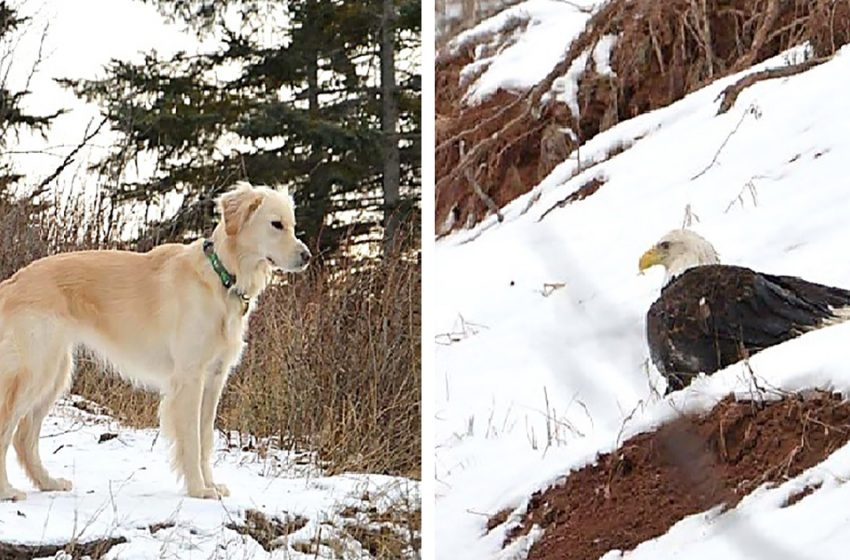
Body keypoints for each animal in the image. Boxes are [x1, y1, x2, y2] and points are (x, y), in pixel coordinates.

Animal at [0, 182, 308, 500]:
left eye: (293, 226)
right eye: (276, 224)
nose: (307, 256)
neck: (222, 277)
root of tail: (11, 283)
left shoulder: (214, 378)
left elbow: (205, 439)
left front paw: (210, 485)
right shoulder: (189, 378)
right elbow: (191, 440)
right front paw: (198, 489)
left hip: (55, 374)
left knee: (24, 437)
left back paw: (48, 482)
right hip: (35, 372)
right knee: (7, 431)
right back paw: (8, 490)